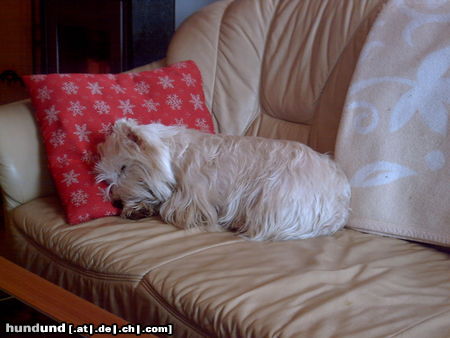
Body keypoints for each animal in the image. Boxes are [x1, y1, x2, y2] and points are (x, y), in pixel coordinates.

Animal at [96, 119, 352, 240]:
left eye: (123, 168)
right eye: (107, 177)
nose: (116, 201)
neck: (174, 156)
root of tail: (339, 208)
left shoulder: (194, 200)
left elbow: (172, 208)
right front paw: (137, 208)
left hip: (273, 192)